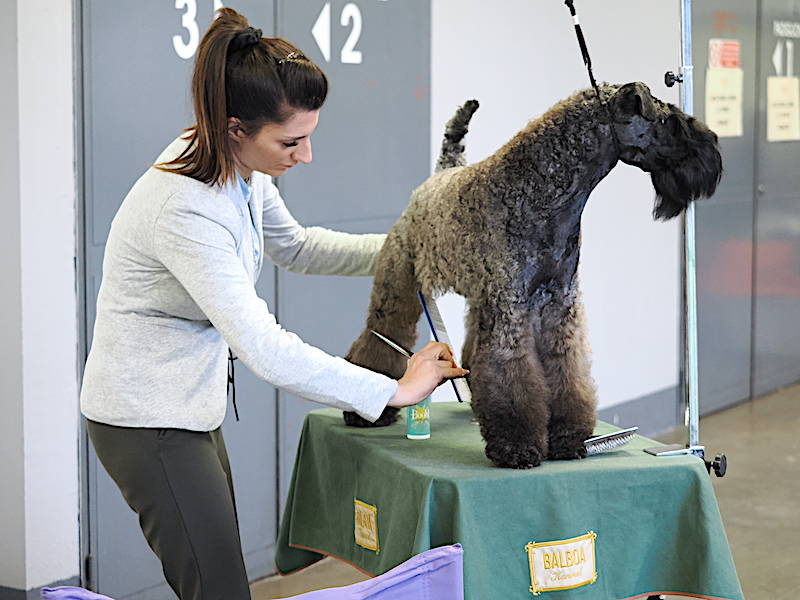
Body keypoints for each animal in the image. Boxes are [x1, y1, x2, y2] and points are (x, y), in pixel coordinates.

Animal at [340, 82, 720, 468]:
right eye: (668, 120)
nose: (713, 151)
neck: (542, 189)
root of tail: (438, 176)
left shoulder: (559, 303)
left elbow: (567, 370)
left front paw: (567, 437)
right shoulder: (510, 306)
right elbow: (512, 371)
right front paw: (517, 445)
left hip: (478, 299)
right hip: (399, 284)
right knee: (381, 334)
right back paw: (368, 413)